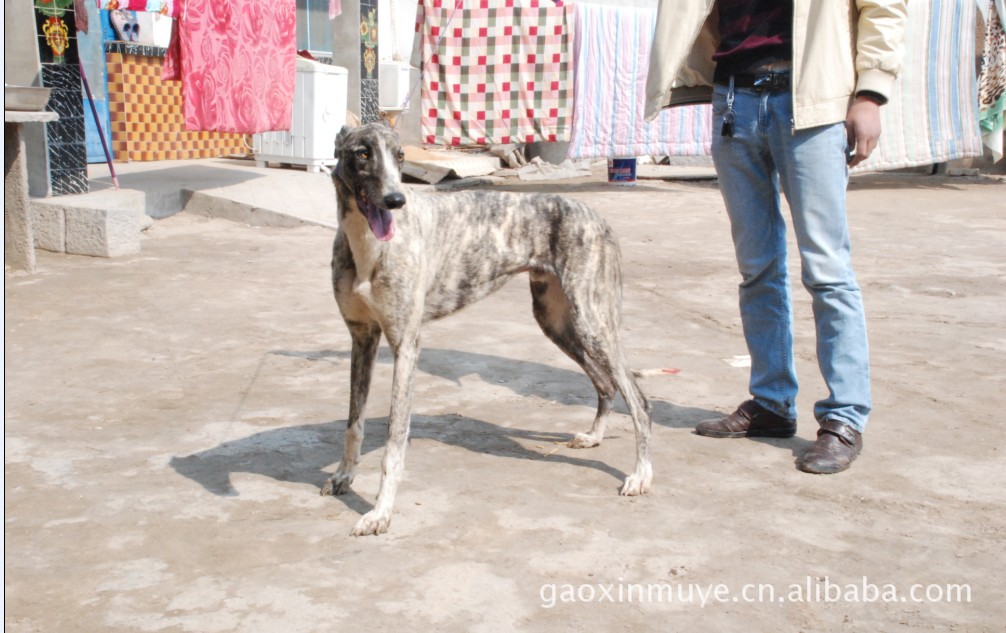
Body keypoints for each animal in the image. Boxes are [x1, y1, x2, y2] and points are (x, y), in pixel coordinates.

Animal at [321, 122, 651, 531]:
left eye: (400, 156)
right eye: (363, 153)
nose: (396, 200)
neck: (368, 246)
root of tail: (597, 216)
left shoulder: (406, 346)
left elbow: (394, 439)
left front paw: (380, 512)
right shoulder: (362, 337)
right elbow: (354, 423)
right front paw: (344, 476)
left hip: (593, 321)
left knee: (638, 399)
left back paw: (640, 475)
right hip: (557, 322)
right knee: (606, 384)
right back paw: (593, 437)